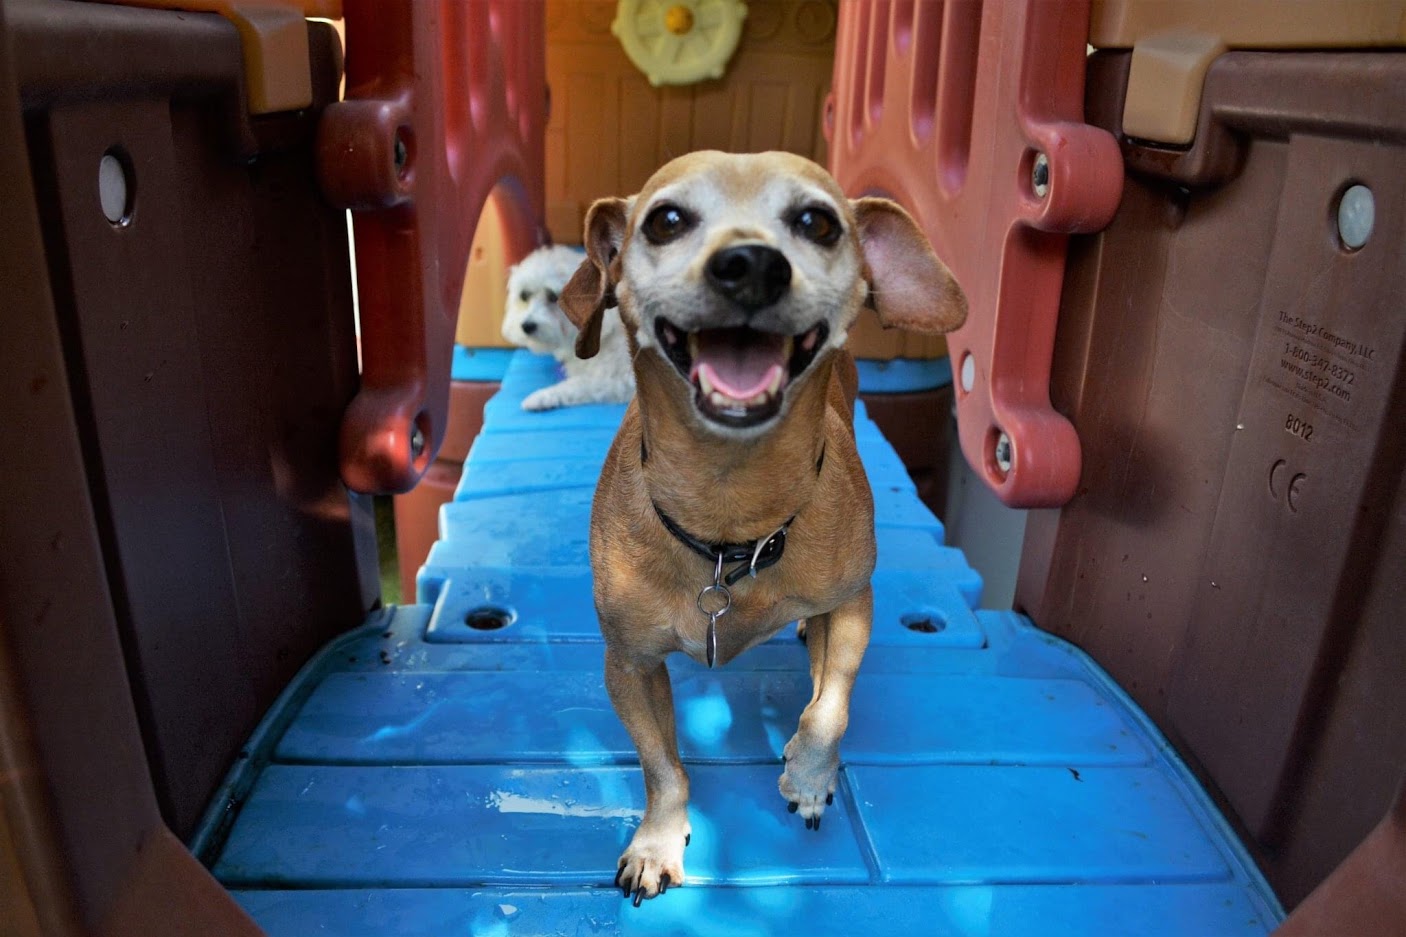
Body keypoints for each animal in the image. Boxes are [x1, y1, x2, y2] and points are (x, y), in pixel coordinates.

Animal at [500, 241, 638, 408]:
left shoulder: (621, 381)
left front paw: (541, 396)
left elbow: (578, 384)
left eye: (553, 297)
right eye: (524, 295)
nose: (527, 326)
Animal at [559, 149, 967, 900]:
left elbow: (829, 709)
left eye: (817, 222)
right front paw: (658, 841)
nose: (751, 263)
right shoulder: (628, 664)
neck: (730, 516)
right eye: (665, 220)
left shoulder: (852, 605)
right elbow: (662, 766)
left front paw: (808, 775)